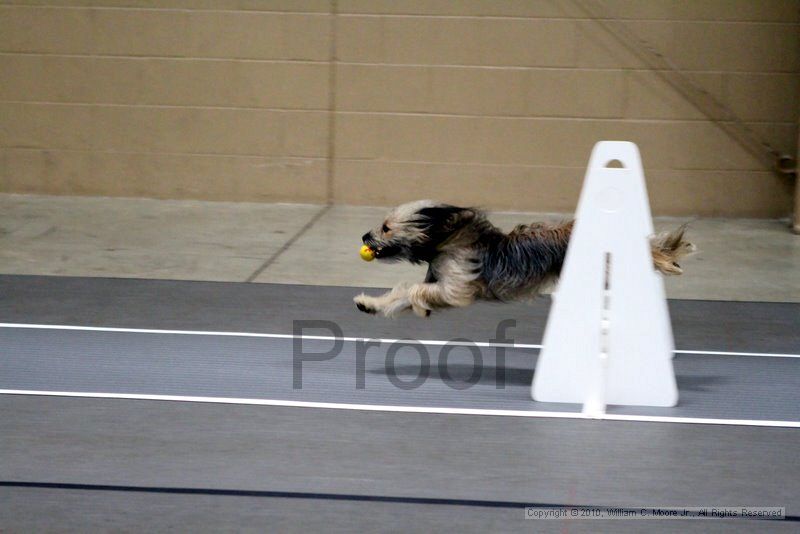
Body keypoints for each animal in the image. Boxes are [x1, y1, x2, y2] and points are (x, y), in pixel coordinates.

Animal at [352, 201, 692, 318]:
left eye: (386, 227)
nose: (365, 237)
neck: (447, 240)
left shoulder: (456, 289)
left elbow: (412, 291)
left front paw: (420, 306)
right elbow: (400, 294)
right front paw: (370, 304)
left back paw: (666, 260)